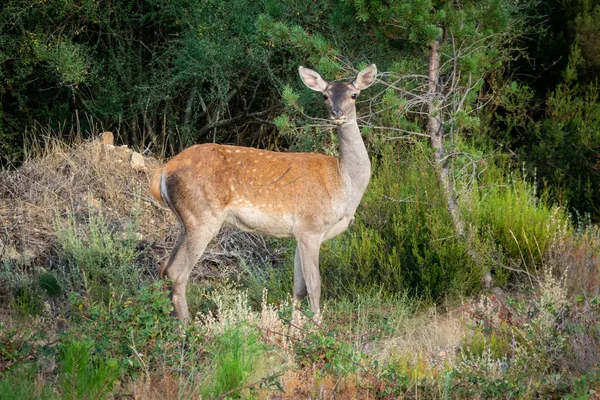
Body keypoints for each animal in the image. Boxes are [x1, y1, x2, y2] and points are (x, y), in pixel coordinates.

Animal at [151, 65, 376, 322]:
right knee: (177, 273)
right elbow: (314, 285)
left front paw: (295, 328)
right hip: (202, 216)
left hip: (184, 220)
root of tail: (163, 171)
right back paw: (187, 326)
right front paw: (317, 327)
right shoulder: (311, 227)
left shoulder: (298, 233)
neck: (344, 182)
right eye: (325, 96)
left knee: (164, 268)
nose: (337, 112)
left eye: (354, 94)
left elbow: (298, 287)